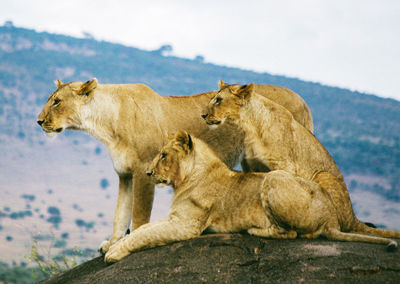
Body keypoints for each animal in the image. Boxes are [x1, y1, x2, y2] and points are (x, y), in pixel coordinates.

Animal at [36, 77, 312, 253]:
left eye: (57, 101)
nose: (38, 121)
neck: (104, 124)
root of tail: (302, 99)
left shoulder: (143, 171)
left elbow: (138, 215)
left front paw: (127, 243)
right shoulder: (124, 174)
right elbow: (120, 212)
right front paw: (112, 241)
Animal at [104, 132, 396, 262]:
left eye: (164, 155)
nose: (148, 172)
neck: (187, 177)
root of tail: (332, 218)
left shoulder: (187, 225)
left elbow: (145, 234)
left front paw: (115, 253)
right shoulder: (176, 219)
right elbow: (144, 229)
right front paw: (113, 246)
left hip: (273, 177)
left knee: (292, 233)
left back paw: (256, 230)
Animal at [202, 81, 400, 240]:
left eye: (218, 100)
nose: (203, 115)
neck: (250, 126)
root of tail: (353, 217)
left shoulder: (285, 165)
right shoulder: (250, 165)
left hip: (324, 176)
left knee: (337, 226)